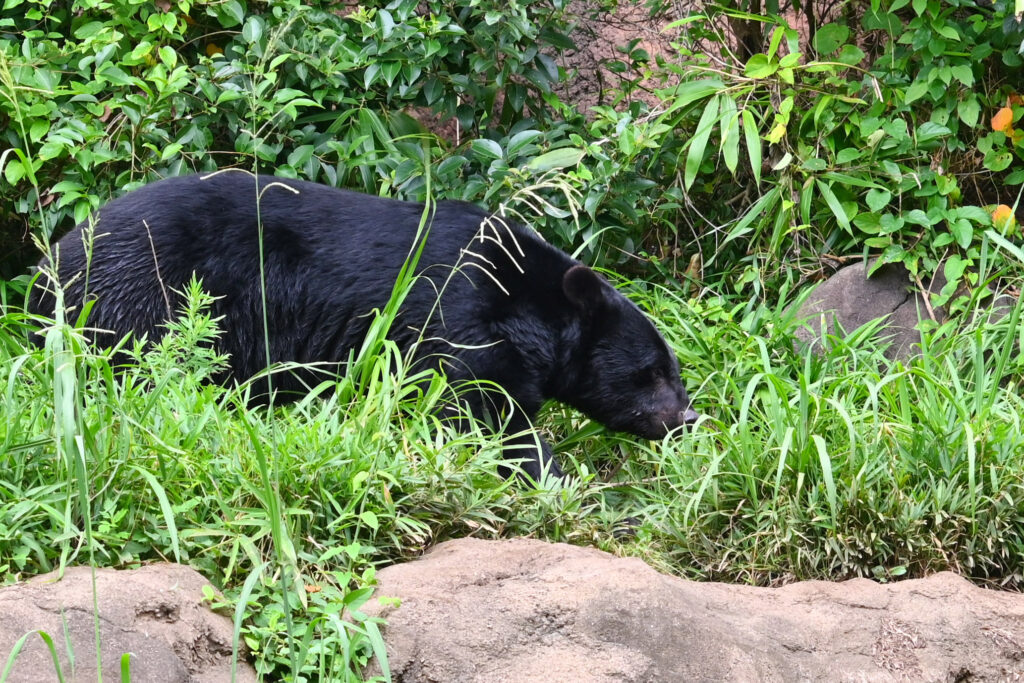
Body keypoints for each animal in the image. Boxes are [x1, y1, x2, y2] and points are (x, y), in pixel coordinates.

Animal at [30, 171, 698, 480]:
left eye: (675, 371)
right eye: (651, 372)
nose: (688, 418)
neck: (525, 301)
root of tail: (51, 262)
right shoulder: (459, 311)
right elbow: (483, 406)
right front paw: (558, 477)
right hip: (147, 293)